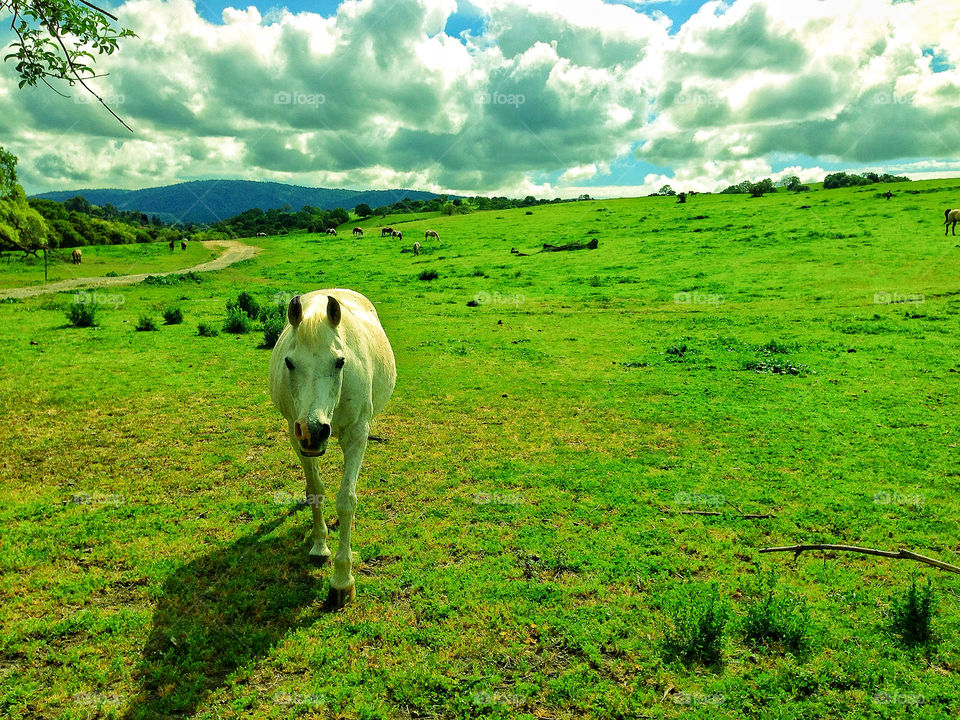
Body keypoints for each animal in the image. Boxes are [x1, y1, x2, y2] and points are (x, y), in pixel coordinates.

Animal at [268, 290, 396, 612]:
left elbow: (346, 501)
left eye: (339, 362)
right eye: (289, 362)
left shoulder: (357, 435)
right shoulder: (296, 436)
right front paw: (319, 545)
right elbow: (315, 489)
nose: (314, 430)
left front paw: (341, 581)